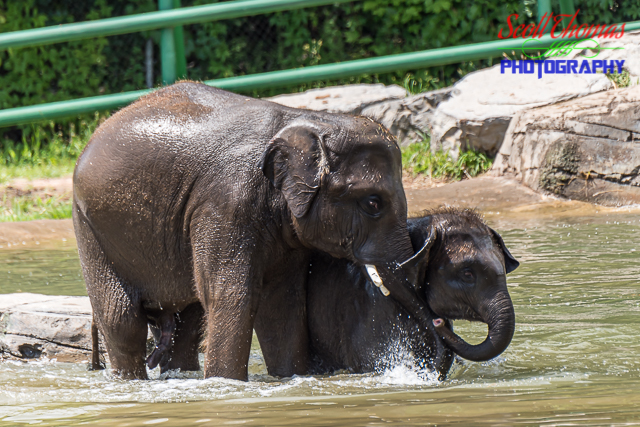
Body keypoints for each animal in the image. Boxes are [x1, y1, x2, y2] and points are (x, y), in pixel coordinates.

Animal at [74, 81, 420, 381]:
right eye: (373, 203)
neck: (305, 121)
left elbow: (282, 303)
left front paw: (290, 377)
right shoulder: (225, 204)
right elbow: (231, 296)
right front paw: (225, 384)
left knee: (187, 324)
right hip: (91, 229)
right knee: (122, 320)